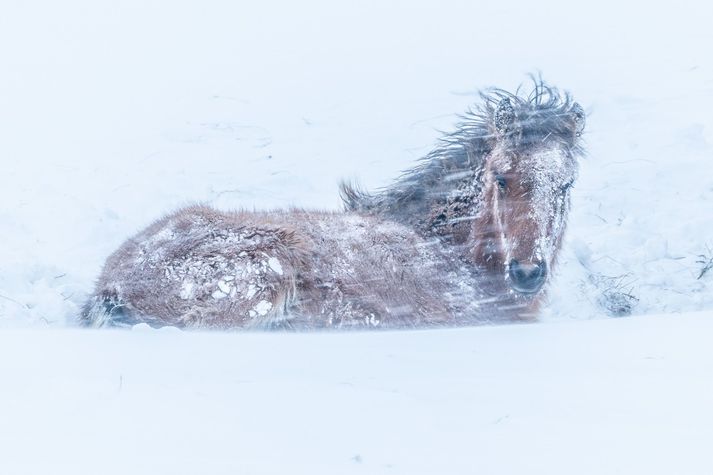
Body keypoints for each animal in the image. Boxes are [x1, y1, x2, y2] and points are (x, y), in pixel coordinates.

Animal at [82, 80, 584, 330]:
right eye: (501, 178)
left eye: (565, 185)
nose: (527, 273)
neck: (455, 254)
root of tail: (110, 284)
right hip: (264, 271)